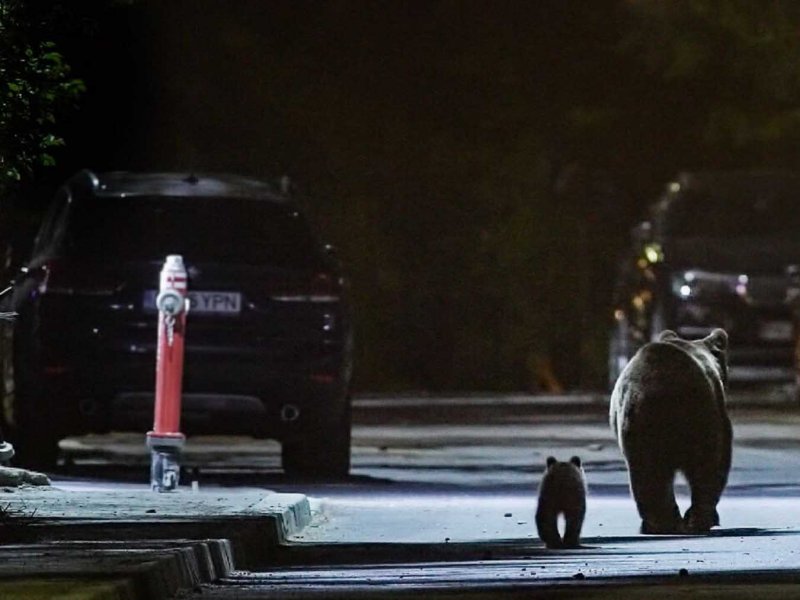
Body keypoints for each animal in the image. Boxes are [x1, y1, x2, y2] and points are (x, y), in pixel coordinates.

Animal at [609, 328, 732, 534]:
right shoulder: (717, 408)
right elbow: (719, 460)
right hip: (699, 417)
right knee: (706, 465)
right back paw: (697, 519)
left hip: (638, 425)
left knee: (646, 472)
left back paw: (659, 523)